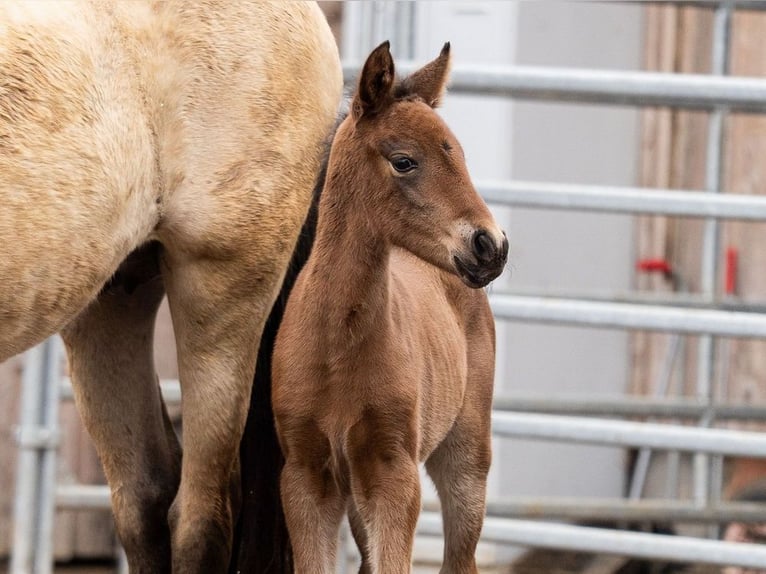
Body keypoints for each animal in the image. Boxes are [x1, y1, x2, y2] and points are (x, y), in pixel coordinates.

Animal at [272, 41, 509, 574]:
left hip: (466, 459)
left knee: (461, 557)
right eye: (404, 161)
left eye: (458, 154)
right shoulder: (305, 476)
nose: (491, 246)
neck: (336, 346)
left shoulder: (393, 473)